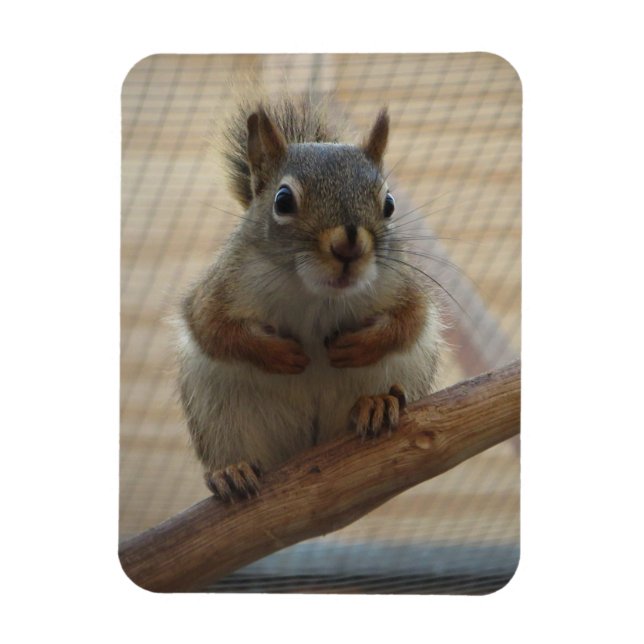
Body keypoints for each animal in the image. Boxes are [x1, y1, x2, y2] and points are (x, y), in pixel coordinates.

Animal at [176, 96, 443, 501]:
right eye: (283, 200)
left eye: (389, 203)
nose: (349, 245)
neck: (316, 292)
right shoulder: (220, 288)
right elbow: (213, 328)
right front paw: (277, 354)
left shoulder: (401, 285)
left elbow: (411, 320)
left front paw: (360, 346)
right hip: (218, 412)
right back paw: (231, 471)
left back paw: (377, 403)